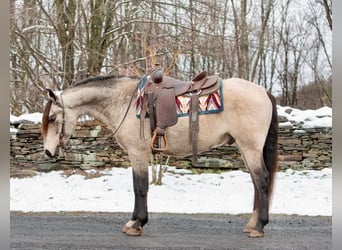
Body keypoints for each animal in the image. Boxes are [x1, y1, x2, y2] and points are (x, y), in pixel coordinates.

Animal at [41, 73, 280, 238]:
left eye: (52, 118)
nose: (48, 151)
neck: (124, 101)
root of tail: (264, 92)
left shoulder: (138, 153)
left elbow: (140, 188)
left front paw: (137, 224)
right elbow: (138, 187)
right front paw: (133, 222)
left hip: (250, 147)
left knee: (262, 180)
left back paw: (259, 226)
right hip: (245, 148)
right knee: (256, 183)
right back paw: (252, 224)